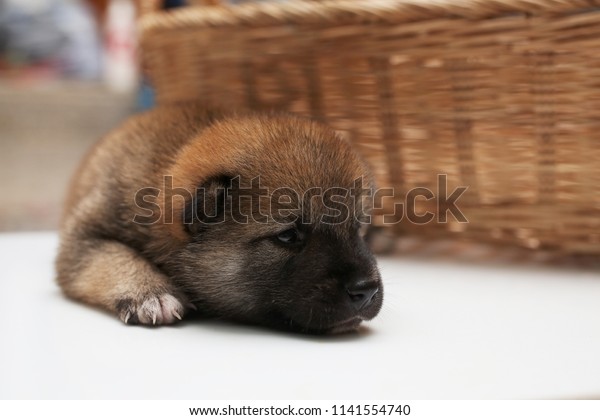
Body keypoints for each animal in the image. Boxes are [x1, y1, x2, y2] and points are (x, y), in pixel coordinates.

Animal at [57, 105, 384, 334]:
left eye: (357, 227)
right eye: (288, 236)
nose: (366, 290)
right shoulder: (83, 234)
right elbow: (113, 256)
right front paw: (150, 292)